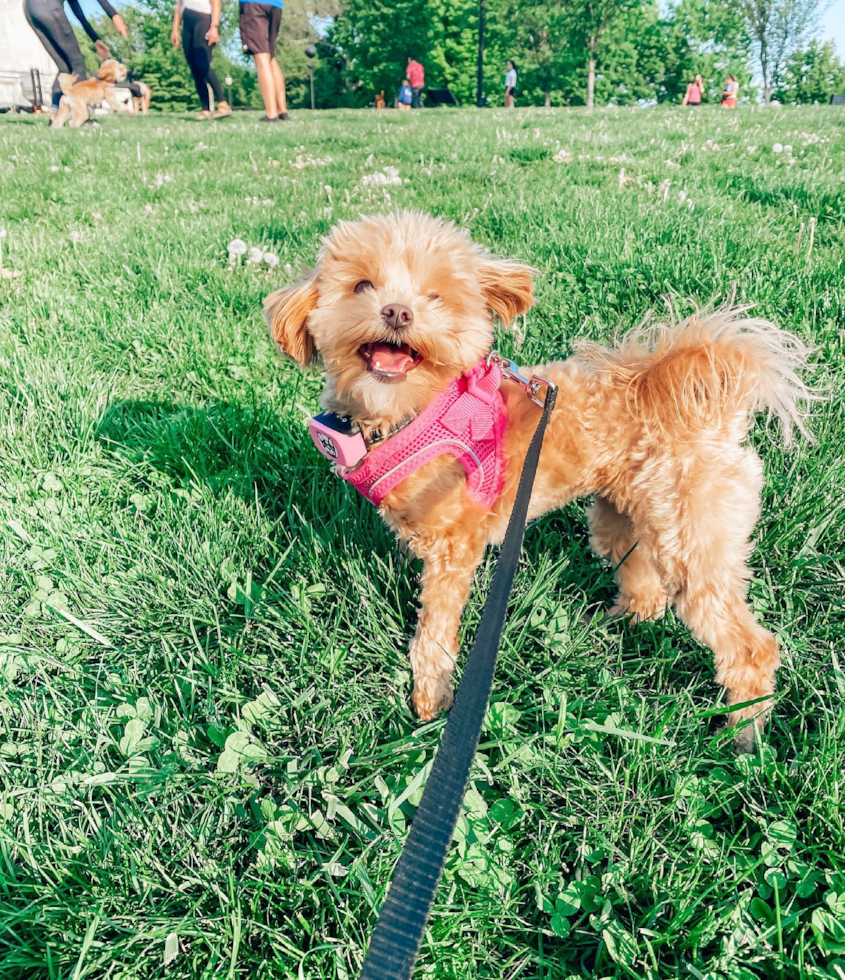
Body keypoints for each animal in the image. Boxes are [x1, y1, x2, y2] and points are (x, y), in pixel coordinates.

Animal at [266, 212, 816, 752]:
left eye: (436, 297)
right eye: (362, 285)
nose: (399, 312)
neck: (411, 413)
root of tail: (686, 396)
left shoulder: (454, 551)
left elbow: (435, 633)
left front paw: (429, 703)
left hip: (692, 539)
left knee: (750, 646)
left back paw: (744, 735)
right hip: (627, 516)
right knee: (646, 590)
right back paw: (618, 625)